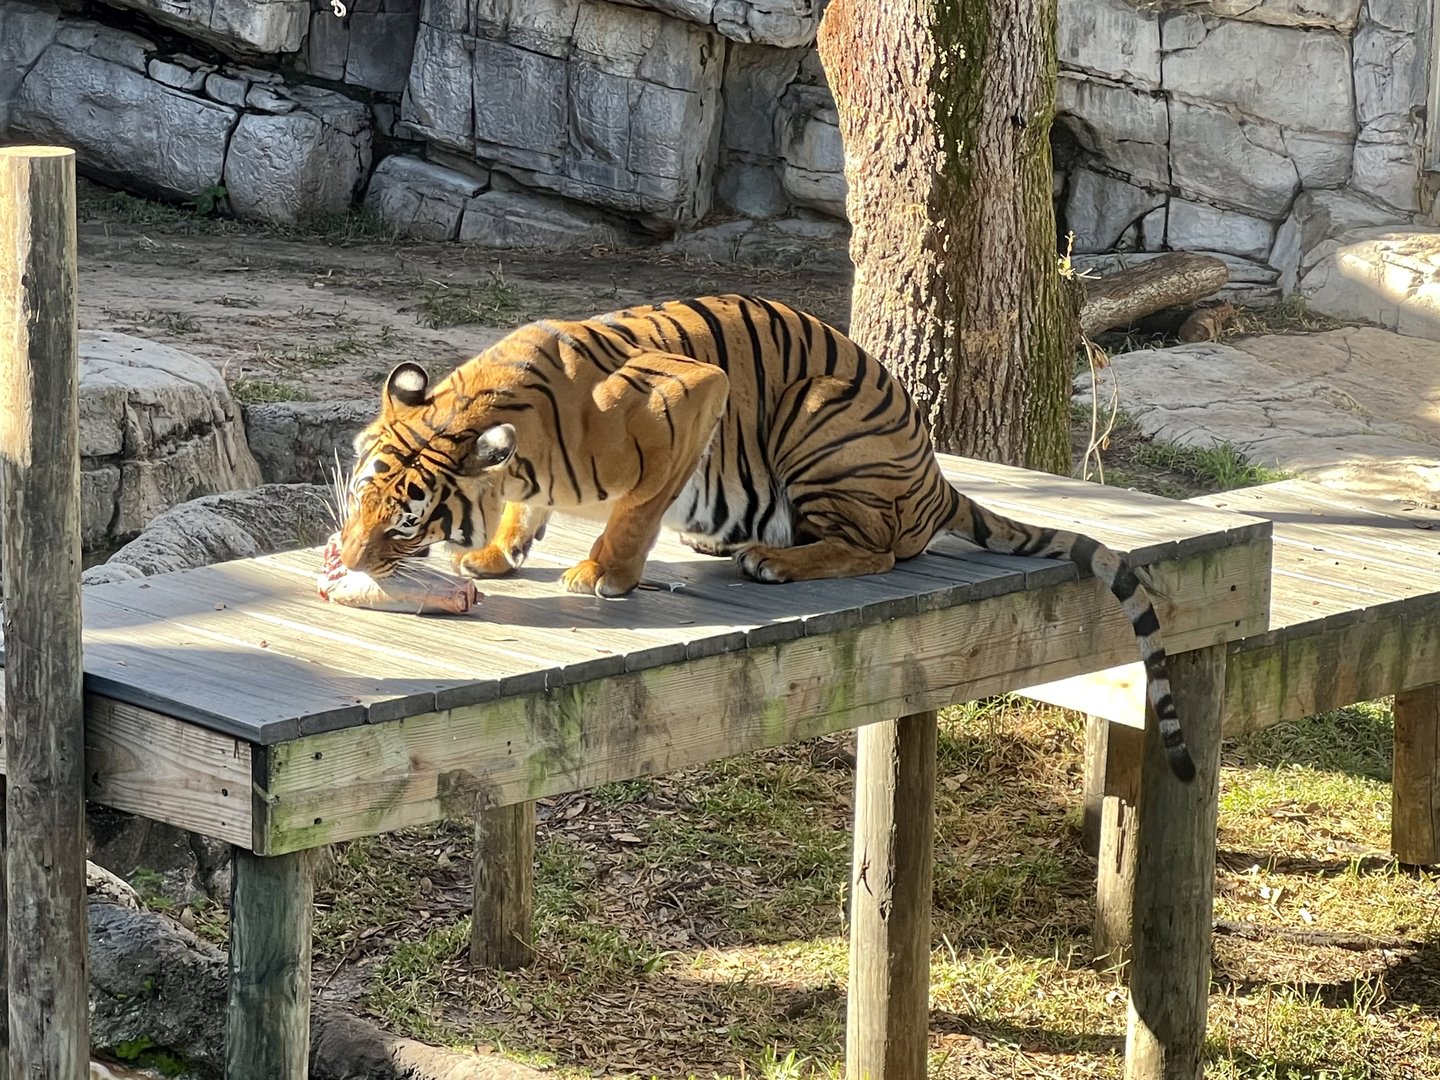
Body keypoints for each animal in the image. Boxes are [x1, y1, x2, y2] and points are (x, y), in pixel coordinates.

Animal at [338, 294, 1197, 782]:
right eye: (358, 493)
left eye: (405, 521)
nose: (345, 559)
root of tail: (935, 477)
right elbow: (526, 516)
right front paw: (496, 553)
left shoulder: (687, 397)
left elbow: (636, 508)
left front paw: (602, 572)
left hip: (816, 412)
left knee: (877, 547)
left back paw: (768, 559)